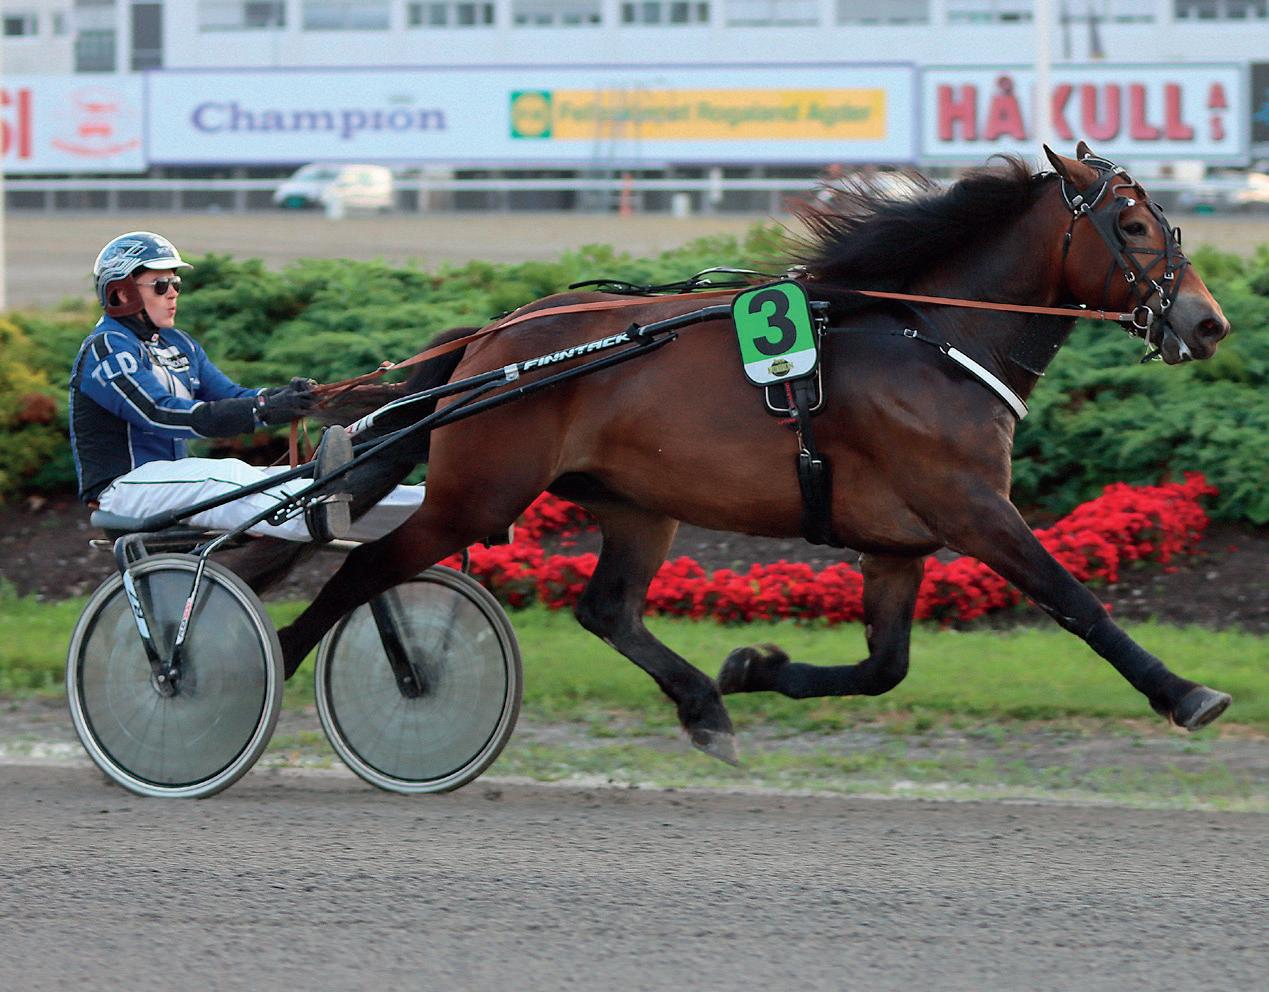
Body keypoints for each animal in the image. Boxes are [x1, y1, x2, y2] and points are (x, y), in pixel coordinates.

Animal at [243, 143, 1233, 764]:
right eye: (1134, 228)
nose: (1208, 322)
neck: (931, 339)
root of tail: (496, 336)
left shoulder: (896, 542)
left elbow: (883, 667)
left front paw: (752, 669)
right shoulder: (970, 507)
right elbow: (1074, 599)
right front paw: (1186, 692)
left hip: (635, 504)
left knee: (606, 609)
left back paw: (703, 705)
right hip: (478, 495)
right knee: (360, 569)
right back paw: (269, 669)